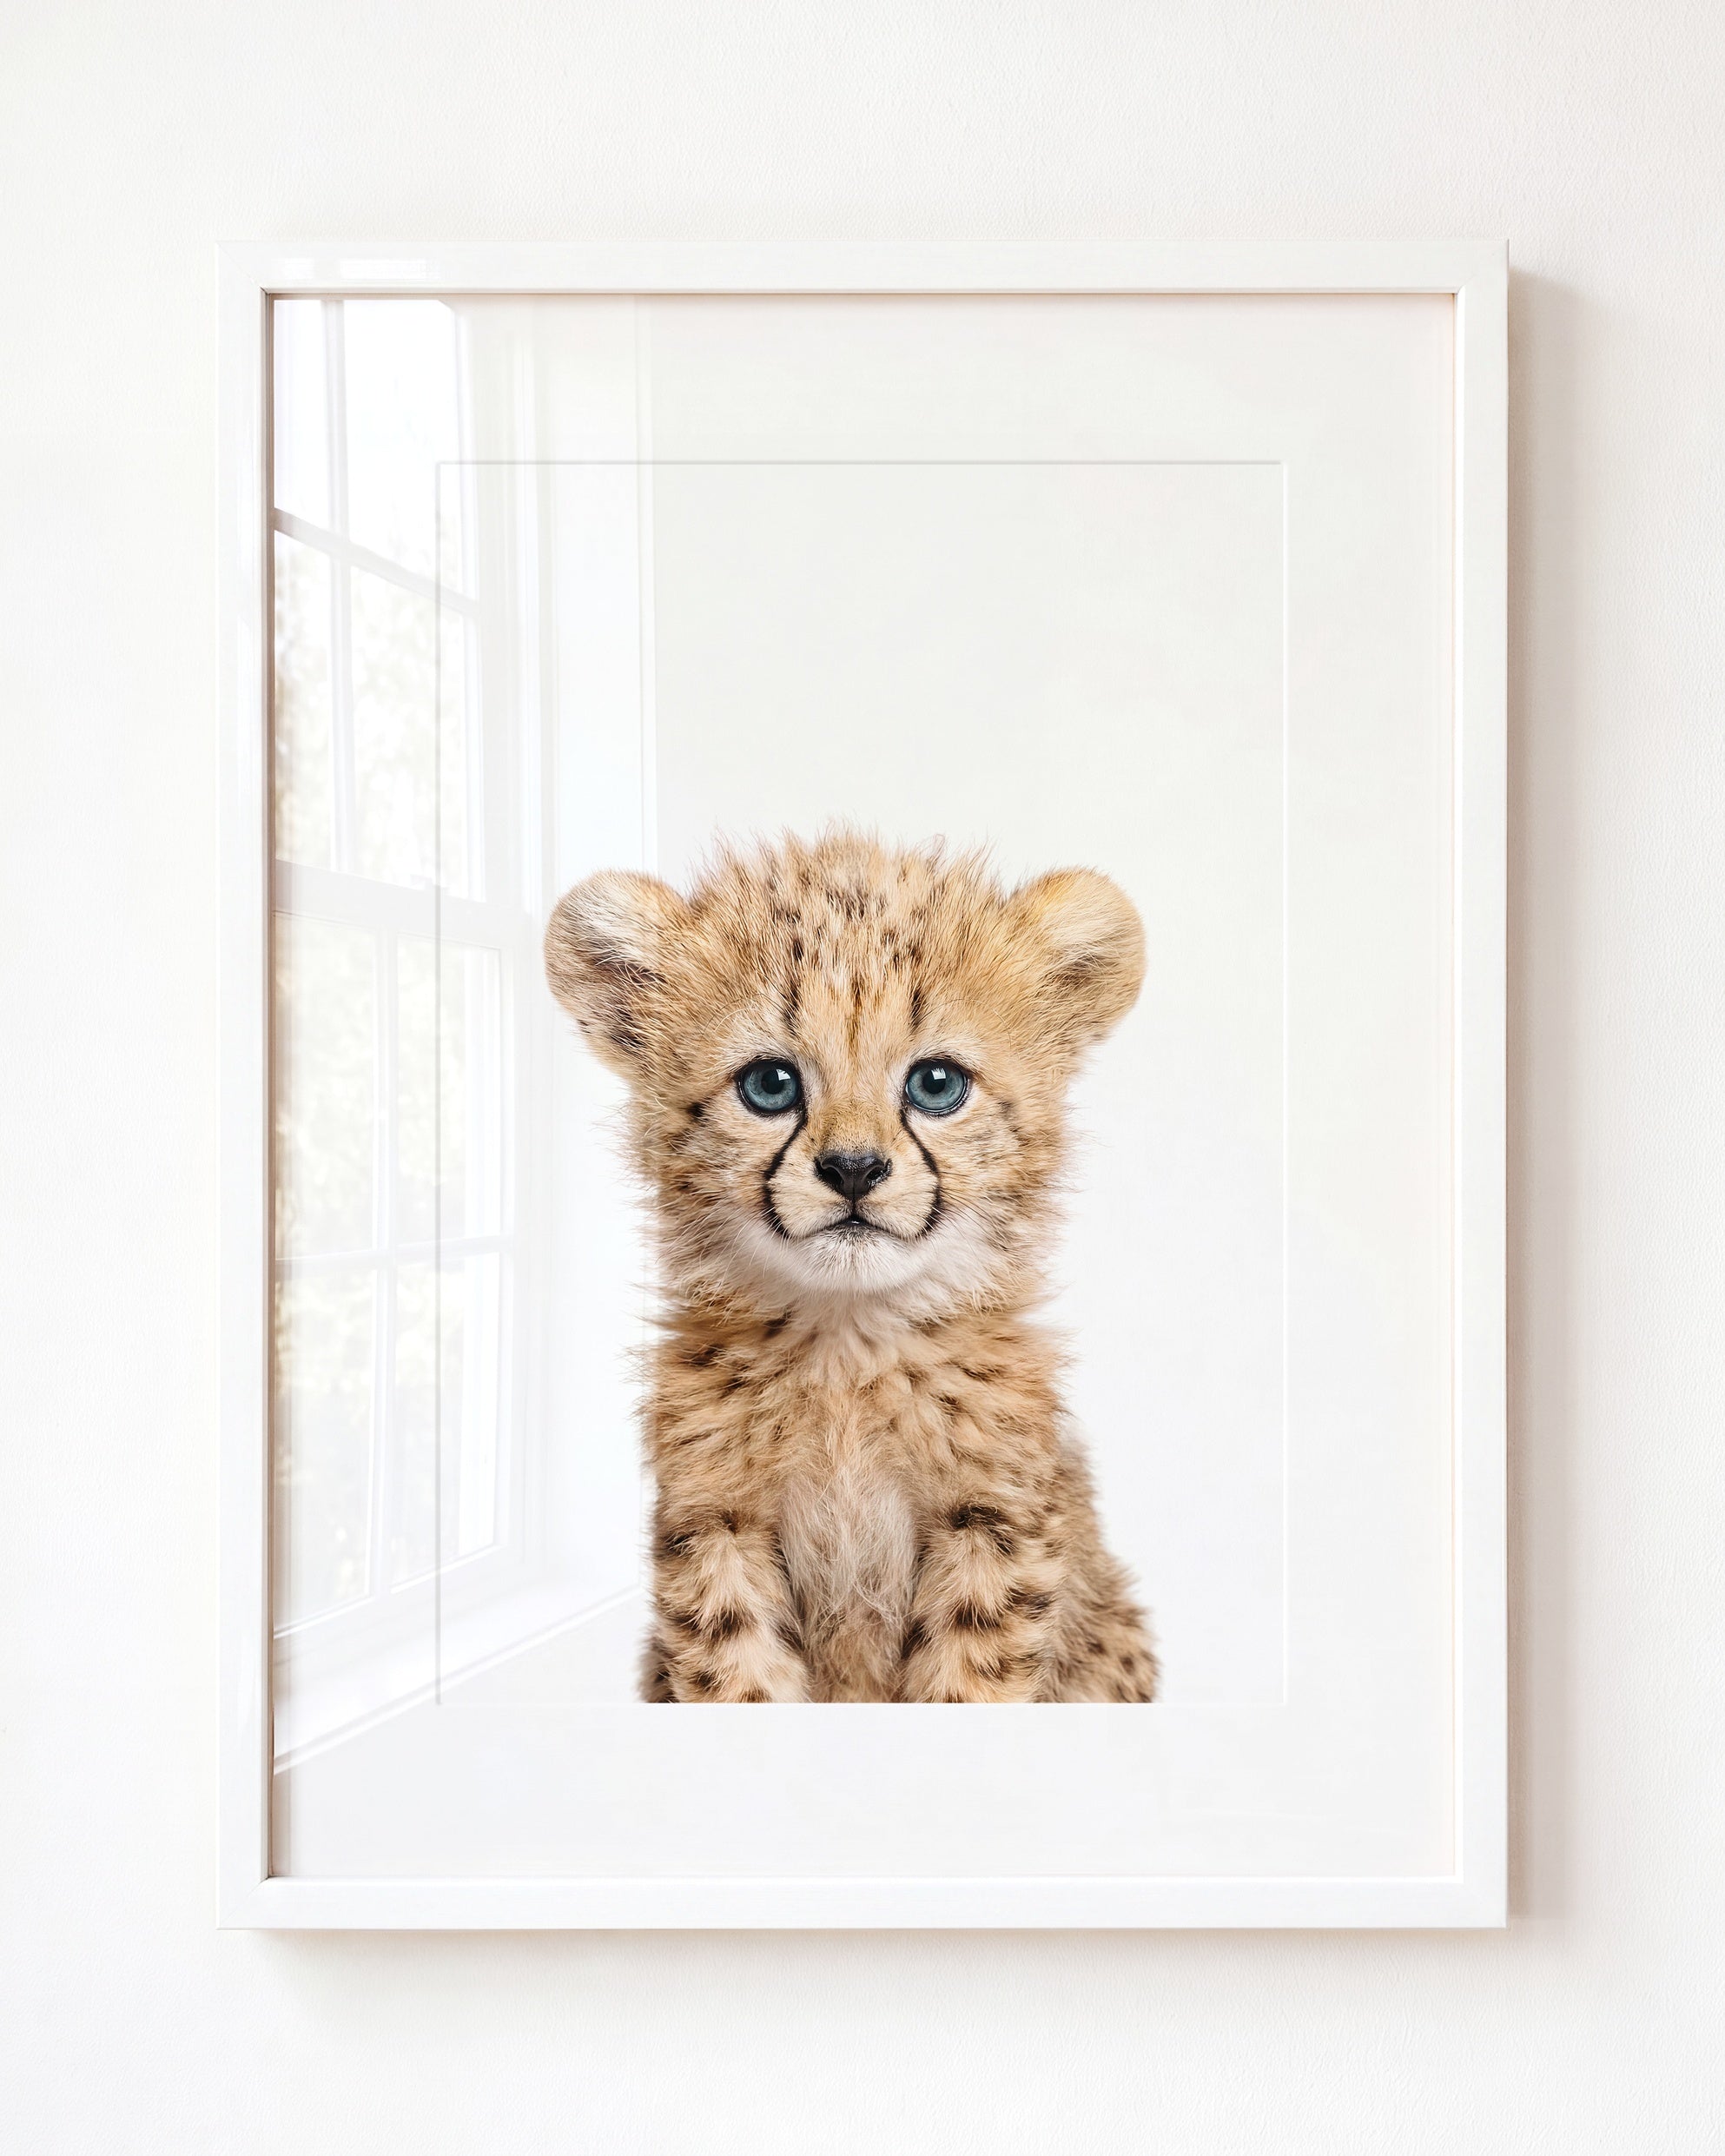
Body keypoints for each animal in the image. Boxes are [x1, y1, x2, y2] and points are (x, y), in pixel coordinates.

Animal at [544, 828, 1159, 1703]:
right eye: (770, 1085)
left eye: (936, 1084)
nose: (855, 1169)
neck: (848, 1345)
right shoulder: (716, 1525)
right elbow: (739, 1676)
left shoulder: (993, 1524)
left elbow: (968, 1681)